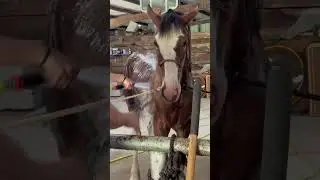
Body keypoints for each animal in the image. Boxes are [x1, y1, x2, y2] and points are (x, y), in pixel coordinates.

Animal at [122, 4, 198, 179]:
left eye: (184, 42)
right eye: (156, 43)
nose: (170, 91)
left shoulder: (184, 129)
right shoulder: (159, 126)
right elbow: (158, 159)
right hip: (133, 109)